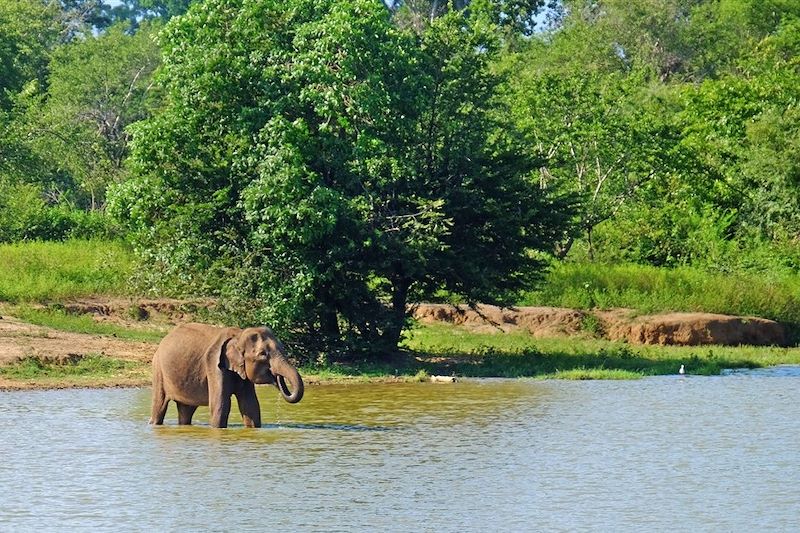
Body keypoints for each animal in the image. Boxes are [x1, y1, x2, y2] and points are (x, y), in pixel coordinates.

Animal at [149, 320, 304, 428]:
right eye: (263, 354)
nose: (278, 377)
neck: (239, 335)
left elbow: (251, 405)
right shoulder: (214, 365)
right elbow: (221, 405)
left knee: (186, 410)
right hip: (158, 370)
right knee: (159, 406)